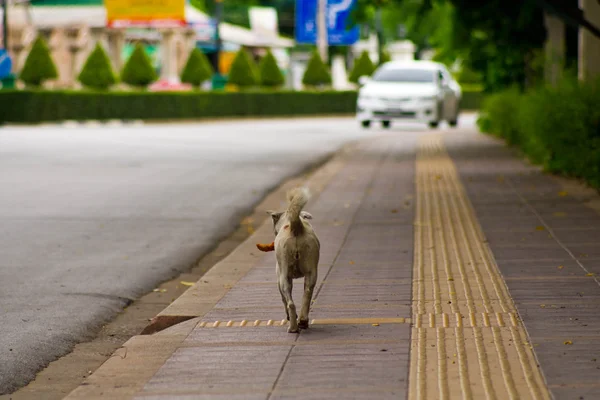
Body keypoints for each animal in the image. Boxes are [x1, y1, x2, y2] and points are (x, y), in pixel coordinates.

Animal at [268, 189, 322, 332]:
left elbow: (284, 299)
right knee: (307, 294)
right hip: (311, 271)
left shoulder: (279, 277)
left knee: (290, 303)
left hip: (283, 276)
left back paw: (293, 327)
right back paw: (303, 321)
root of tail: (296, 227)